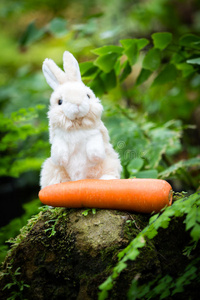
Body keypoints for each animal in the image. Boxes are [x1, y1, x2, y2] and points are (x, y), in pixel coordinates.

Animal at [39, 50, 121, 189]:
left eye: (88, 96)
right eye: (60, 101)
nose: (77, 103)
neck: (76, 124)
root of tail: (79, 179)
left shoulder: (94, 134)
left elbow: (95, 145)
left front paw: (95, 156)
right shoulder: (59, 138)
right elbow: (59, 149)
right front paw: (61, 159)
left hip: (110, 162)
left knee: (109, 173)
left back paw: (106, 179)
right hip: (50, 168)